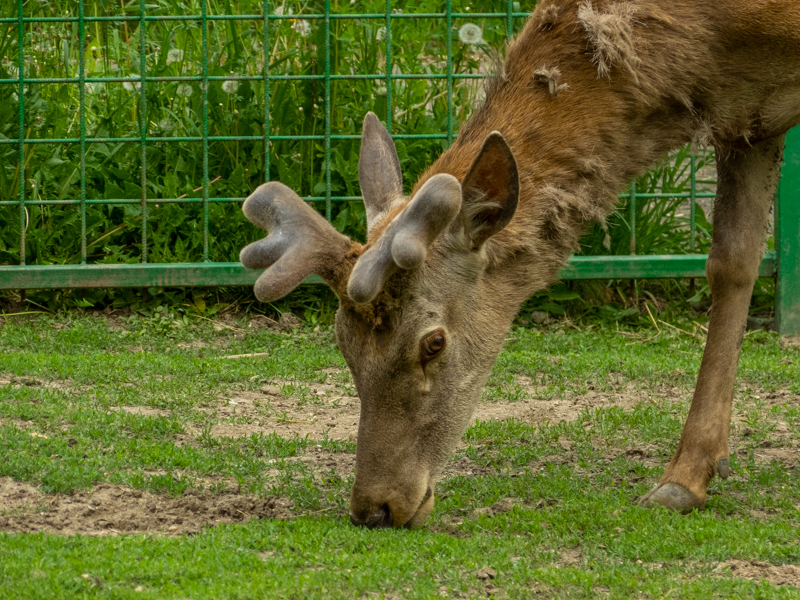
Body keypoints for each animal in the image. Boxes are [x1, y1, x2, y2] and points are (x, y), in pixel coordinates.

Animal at [240, 0, 800, 528]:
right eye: (343, 343)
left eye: (433, 342)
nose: (374, 508)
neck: (715, 40)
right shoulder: (748, 118)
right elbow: (732, 262)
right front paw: (688, 478)